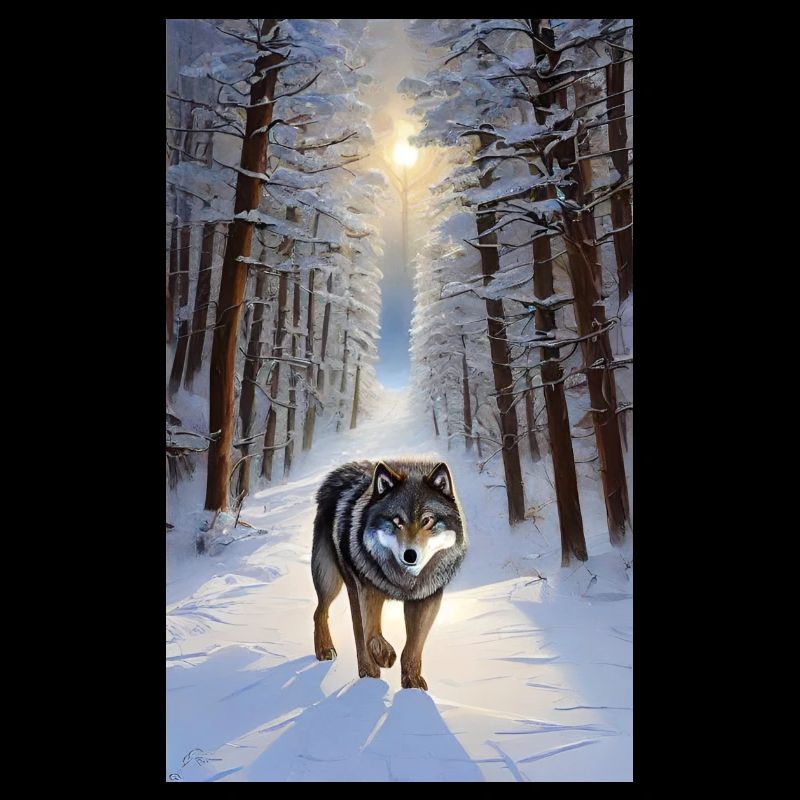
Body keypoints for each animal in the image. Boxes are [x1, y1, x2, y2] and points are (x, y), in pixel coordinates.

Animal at [311, 458, 467, 690]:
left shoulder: (426, 599)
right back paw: (327, 651)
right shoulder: (369, 589)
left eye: (427, 520)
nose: (410, 555)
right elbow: (371, 633)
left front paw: (412, 683)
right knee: (320, 612)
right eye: (397, 521)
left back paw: (368, 673)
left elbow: (413, 647)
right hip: (331, 580)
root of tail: (343, 471)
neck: (403, 582)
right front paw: (385, 655)